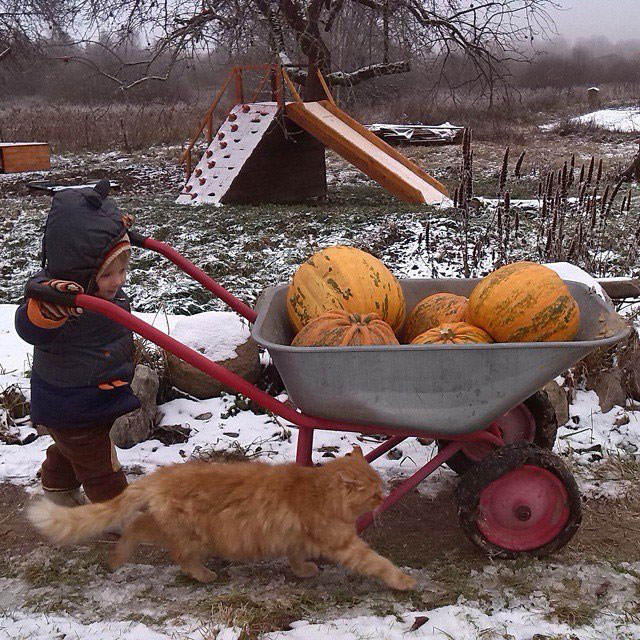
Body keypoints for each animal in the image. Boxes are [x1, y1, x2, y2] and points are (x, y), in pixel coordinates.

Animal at [28, 444, 416, 592]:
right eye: (375, 493)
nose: (384, 499)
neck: (318, 491)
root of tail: (159, 477)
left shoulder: (294, 537)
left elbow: (295, 556)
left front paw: (303, 571)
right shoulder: (344, 543)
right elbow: (378, 562)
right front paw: (403, 581)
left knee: (139, 528)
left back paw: (117, 557)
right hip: (191, 536)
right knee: (167, 548)